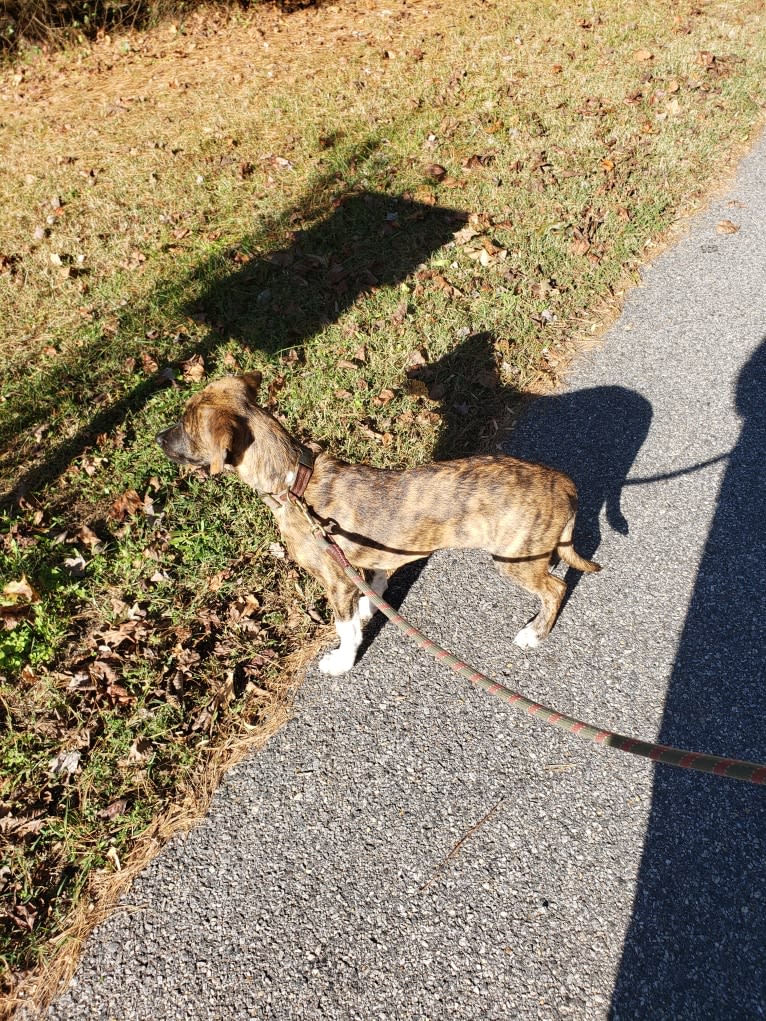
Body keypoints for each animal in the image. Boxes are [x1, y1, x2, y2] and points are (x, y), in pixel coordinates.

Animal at [156, 371, 600, 673]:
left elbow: (346, 629)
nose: (158, 438)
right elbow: (375, 583)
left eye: (186, 425)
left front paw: (341, 660)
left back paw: (535, 633)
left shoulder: (334, 580)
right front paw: (371, 605)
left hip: (513, 559)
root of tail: (563, 482)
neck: (294, 482)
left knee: (556, 589)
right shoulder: (362, 563)